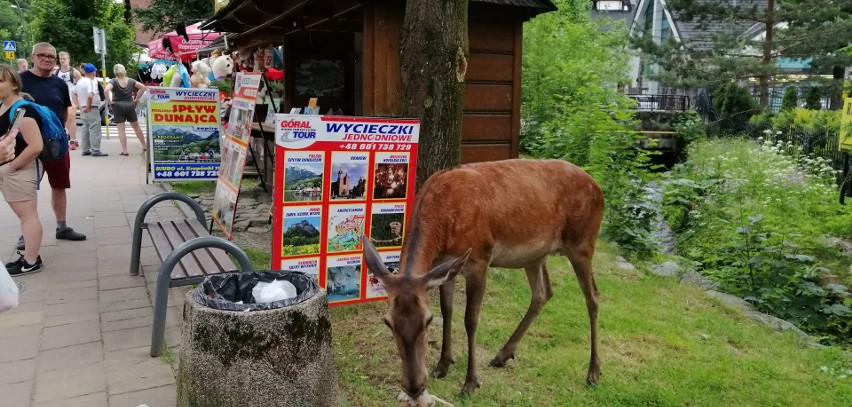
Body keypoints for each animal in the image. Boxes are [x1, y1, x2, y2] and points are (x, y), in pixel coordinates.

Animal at [362, 159, 604, 398]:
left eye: (427, 320)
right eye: (388, 321)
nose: (414, 387)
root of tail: (599, 189)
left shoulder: (480, 259)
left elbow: (470, 319)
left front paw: (470, 384)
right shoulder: (444, 265)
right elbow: (447, 310)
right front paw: (443, 365)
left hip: (582, 242)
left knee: (593, 295)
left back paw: (593, 372)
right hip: (536, 256)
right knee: (543, 293)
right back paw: (502, 355)